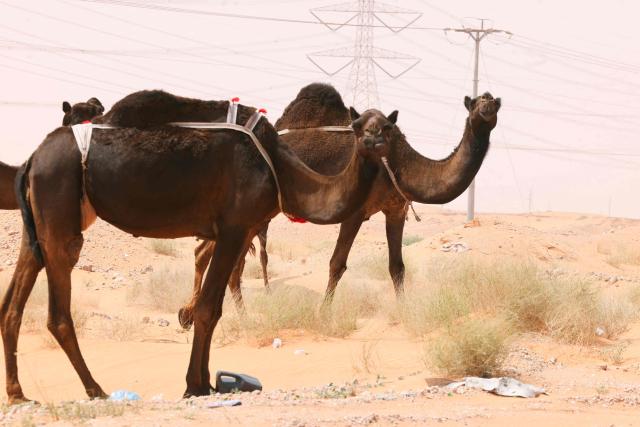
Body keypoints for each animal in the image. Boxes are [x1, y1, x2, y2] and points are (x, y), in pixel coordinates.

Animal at [0, 90, 386, 402]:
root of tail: (32, 159)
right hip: (60, 210)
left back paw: (19, 393)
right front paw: (195, 385)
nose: (375, 139)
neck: (279, 168)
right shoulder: (234, 228)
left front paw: (207, 381)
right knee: (58, 313)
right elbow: (207, 309)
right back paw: (96, 389)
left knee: (12, 305)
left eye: (386, 125)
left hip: (37, 224)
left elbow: (213, 307)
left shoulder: (243, 229)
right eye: (359, 125)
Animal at [177, 87, 501, 329]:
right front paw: (323, 313)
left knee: (225, 260)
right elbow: (337, 263)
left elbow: (397, 266)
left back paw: (226, 316)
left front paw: (405, 310)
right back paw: (199, 314)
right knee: (211, 255)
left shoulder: (395, 208)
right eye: (475, 103)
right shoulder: (355, 211)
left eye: (494, 101)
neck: (400, 162)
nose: (487, 104)